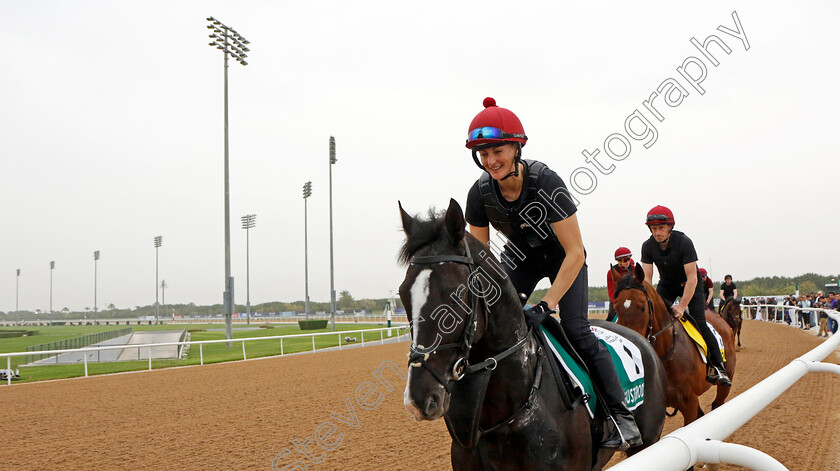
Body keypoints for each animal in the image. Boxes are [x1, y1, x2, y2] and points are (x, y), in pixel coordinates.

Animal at [612, 266, 736, 428]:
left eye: (642, 307)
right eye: (616, 308)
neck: (667, 355)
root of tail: (723, 323)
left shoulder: (689, 402)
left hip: (726, 381)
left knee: (717, 403)